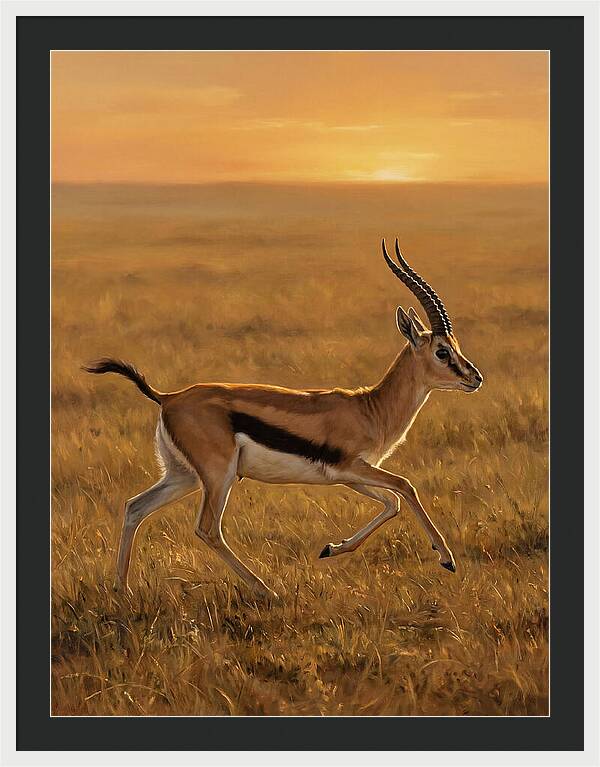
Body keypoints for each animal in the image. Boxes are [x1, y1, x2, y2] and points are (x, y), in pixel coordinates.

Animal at [85, 239, 482, 600]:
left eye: (457, 346)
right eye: (442, 351)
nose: (475, 378)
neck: (370, 408)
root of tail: (168, 397)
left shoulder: (348, 476)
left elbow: (392, 503)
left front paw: (331, 548)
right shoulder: (353, 467)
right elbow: (405, 487)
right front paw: (446, 559)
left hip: (183, 475)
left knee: (135, 507)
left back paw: (122, 590)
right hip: (218, 476)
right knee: (207, 528)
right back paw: (266, 590)